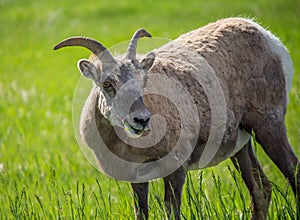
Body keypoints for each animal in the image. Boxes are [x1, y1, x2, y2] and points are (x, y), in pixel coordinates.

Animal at [54, 17, 300, 220]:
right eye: (107, 84)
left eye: (144, 80)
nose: (141, 120)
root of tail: (269, 39)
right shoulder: (137, 180)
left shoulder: (175, 171)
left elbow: (172, 212)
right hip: (241, 146)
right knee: (261, 190)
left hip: (268, 126)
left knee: (292, 174)